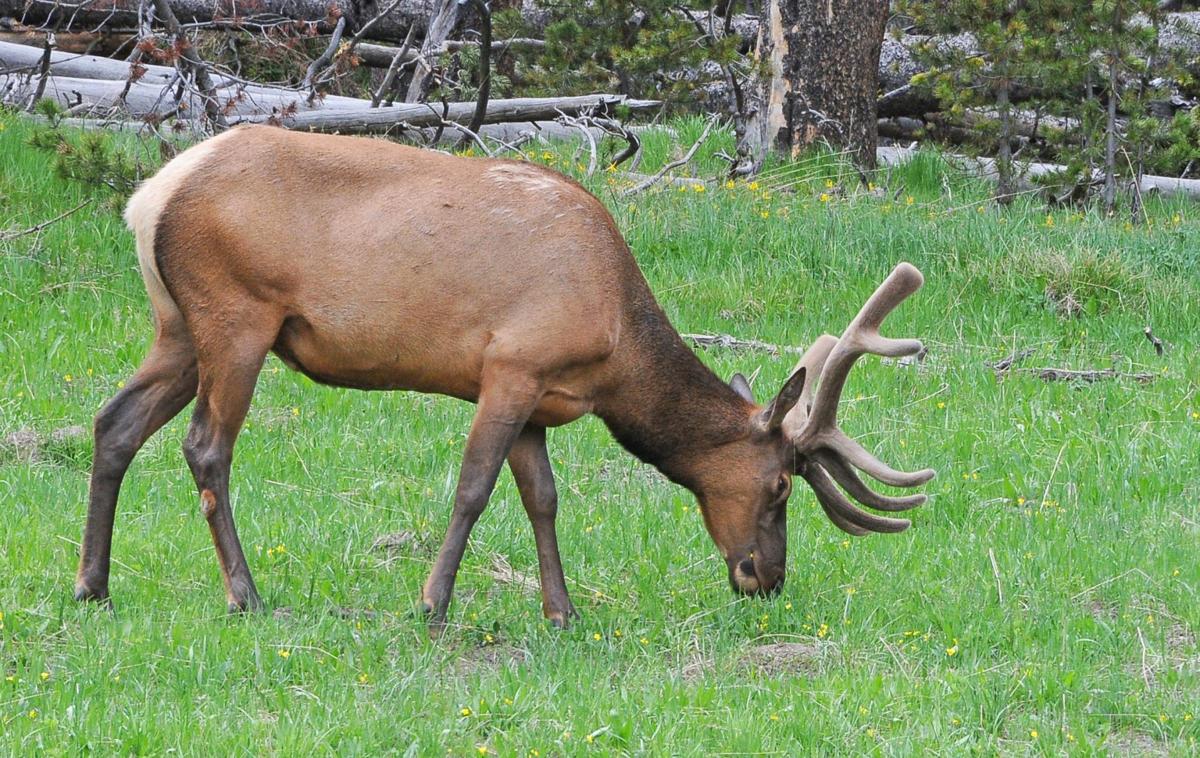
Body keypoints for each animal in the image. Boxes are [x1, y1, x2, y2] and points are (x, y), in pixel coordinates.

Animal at [74, 125, 935, 629]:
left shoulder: (539, 399)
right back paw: (246, 595)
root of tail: (146, 198)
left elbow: (543, 499)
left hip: (178, 327)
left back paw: (92, 585)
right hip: (236, 317)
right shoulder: (510, 367)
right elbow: (474, 489)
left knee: (113, 421)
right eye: (782, 484)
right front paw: (432, 604)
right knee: (206, 448)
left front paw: (563, 612)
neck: (615, 347)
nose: (766, 577)